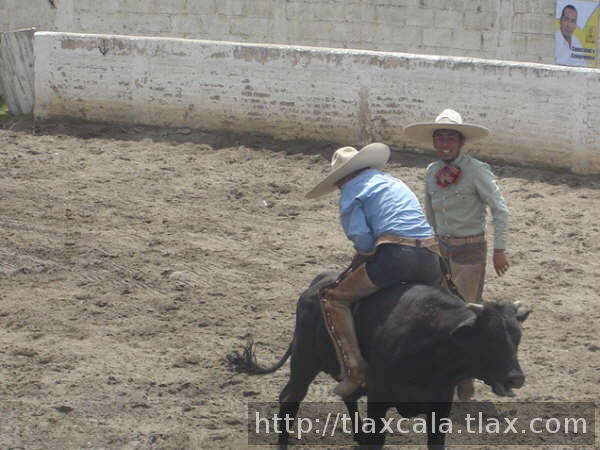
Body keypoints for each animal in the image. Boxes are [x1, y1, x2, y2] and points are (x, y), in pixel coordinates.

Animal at [232, 268, 532, 448]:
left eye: (517, 337)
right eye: (489, 339)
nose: (516, 378)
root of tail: (319, 283)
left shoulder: (440, 405)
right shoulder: (378, 398)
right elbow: (377, 437)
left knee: (348, 395)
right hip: (304, 359)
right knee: (290, 398)